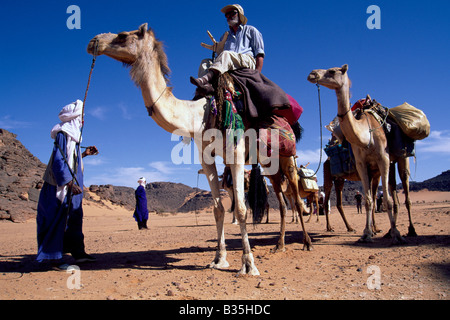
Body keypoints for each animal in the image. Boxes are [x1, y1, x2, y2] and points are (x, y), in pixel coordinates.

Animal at [89, 23, 312, 276]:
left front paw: (248, 264)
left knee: (296, 198)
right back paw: (280, 245)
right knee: (283, 204)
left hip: (287, 158)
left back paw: (306, 242)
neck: (198, 116)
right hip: (269, 165)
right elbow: (218, 209)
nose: (94, 41)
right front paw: (219, 259)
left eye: (123, 35)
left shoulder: (235, 155)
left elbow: (241, 209)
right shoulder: (207, 159)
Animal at [308, 65, 406, 245]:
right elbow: (368, 199)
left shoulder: (382, 161)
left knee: (340, 203)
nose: (312, 74)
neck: (366, 136)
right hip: (328, 175)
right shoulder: (361, 163)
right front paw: (368, 233)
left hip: (341, 179)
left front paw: (389, 232)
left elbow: (380, 199)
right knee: (327, 200)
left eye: (332, 71)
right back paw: (330, 227)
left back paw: (350, 227)